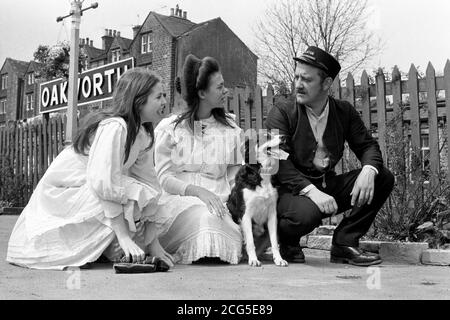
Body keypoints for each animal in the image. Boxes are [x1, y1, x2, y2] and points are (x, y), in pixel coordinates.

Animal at [229, 133, 288, 268]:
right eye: (266, 135)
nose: (283, 136)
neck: (262, 174)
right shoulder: (245, 214)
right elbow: (250, 242)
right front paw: (253, 260)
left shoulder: (272, 214)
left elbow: (274, 242)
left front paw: (279, 259)